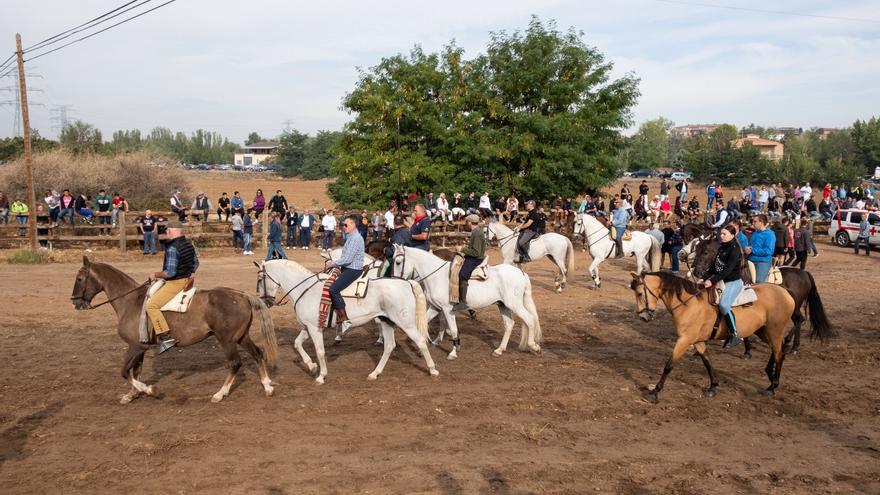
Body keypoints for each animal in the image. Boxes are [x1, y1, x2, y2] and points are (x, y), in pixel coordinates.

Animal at [72, 258, 278, 404]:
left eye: (80, 279)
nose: (75, 303)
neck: (131, 301)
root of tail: (242, 296)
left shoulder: (135, 347)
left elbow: (125, 371)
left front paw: (150, 390)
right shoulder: (140, 348)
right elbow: (135, 371)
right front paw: (132, 394)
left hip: (227, 340)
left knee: (235, 363)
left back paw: (220, 393)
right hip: (241, 337)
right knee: (258, 354)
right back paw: (267, 386)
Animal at [256, 260, 438, 384]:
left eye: (259, 279)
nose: (265, 301)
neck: (305, 289)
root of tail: (406, 283)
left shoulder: (315, 328)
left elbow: (320, 351)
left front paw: (321, 376)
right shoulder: (308, 327)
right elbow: (297, 344)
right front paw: (311, 366)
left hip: (406, 323)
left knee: (420, 341)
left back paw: (433, 370)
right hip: (386, 321)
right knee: (389, 346)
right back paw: (374, 373)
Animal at [388, 245, 540, 358]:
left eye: (398, 262)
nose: (394, 280)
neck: (437, 276)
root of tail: (520, 273)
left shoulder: (447, 309)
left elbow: (454, 330)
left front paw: (454, 352)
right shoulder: (435, 308)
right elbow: (427, 322)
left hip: (515, 305)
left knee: (529, 319)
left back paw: (533, 345)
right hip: (503, 305)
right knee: (509, 324)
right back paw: (499, 350)